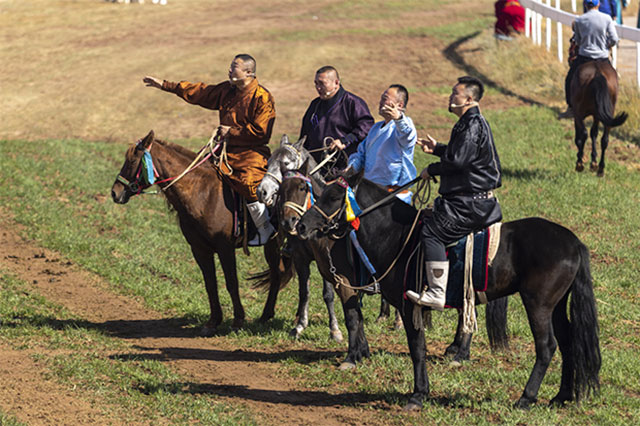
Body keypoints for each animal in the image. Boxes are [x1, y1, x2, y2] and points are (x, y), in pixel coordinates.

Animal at [110, 130, 292, 336]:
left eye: (133, 161)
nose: (115, 192)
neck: (203, 193)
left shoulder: (225, 248)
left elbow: (231, 282)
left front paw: (238, 320)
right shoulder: (199, 249)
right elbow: (210, 284)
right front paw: (213, 321)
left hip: (274, 242)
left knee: (279, 272)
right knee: (278, 272)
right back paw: (265, 316)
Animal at [296, 171, 600, 412]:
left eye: (334, 197)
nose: (301, 225)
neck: (397, 236)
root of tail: (573, 241)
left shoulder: (410, 307)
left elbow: (417, 349)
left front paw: (418, 395)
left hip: (538, 304)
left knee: (547, 347)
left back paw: (526, 398)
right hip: (556, 306)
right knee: (569, 342)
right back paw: (561, 396)